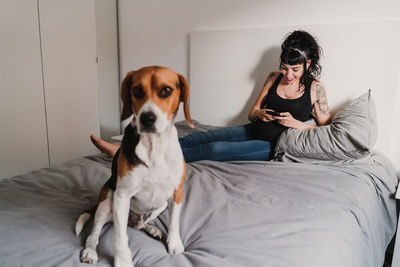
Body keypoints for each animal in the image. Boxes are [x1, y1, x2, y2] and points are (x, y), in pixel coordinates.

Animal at [76, 66, 194, 266]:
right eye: (137, 90)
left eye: (166, 90)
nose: (147, 118)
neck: (154, 147)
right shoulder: (122, 196)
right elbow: (120, 237)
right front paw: (123, 260)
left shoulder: (176, 193)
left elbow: (174, 223)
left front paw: (174, 243)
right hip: (107, 202)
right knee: (95, 233)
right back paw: (90, 252)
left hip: (161, 204)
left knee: (139, 224)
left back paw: (151, 229)